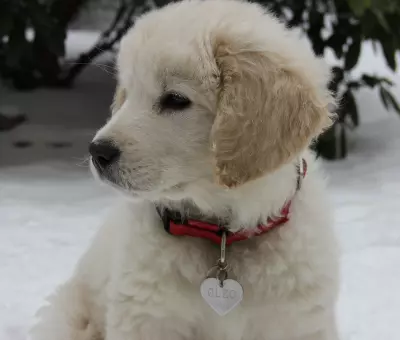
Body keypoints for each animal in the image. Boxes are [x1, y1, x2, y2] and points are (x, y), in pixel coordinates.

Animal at [31, 0, 340, 340]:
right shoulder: (146, 318)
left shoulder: (300, 321)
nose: (98, 152)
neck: (222, 234)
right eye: (129, 93)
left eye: (175, 100)